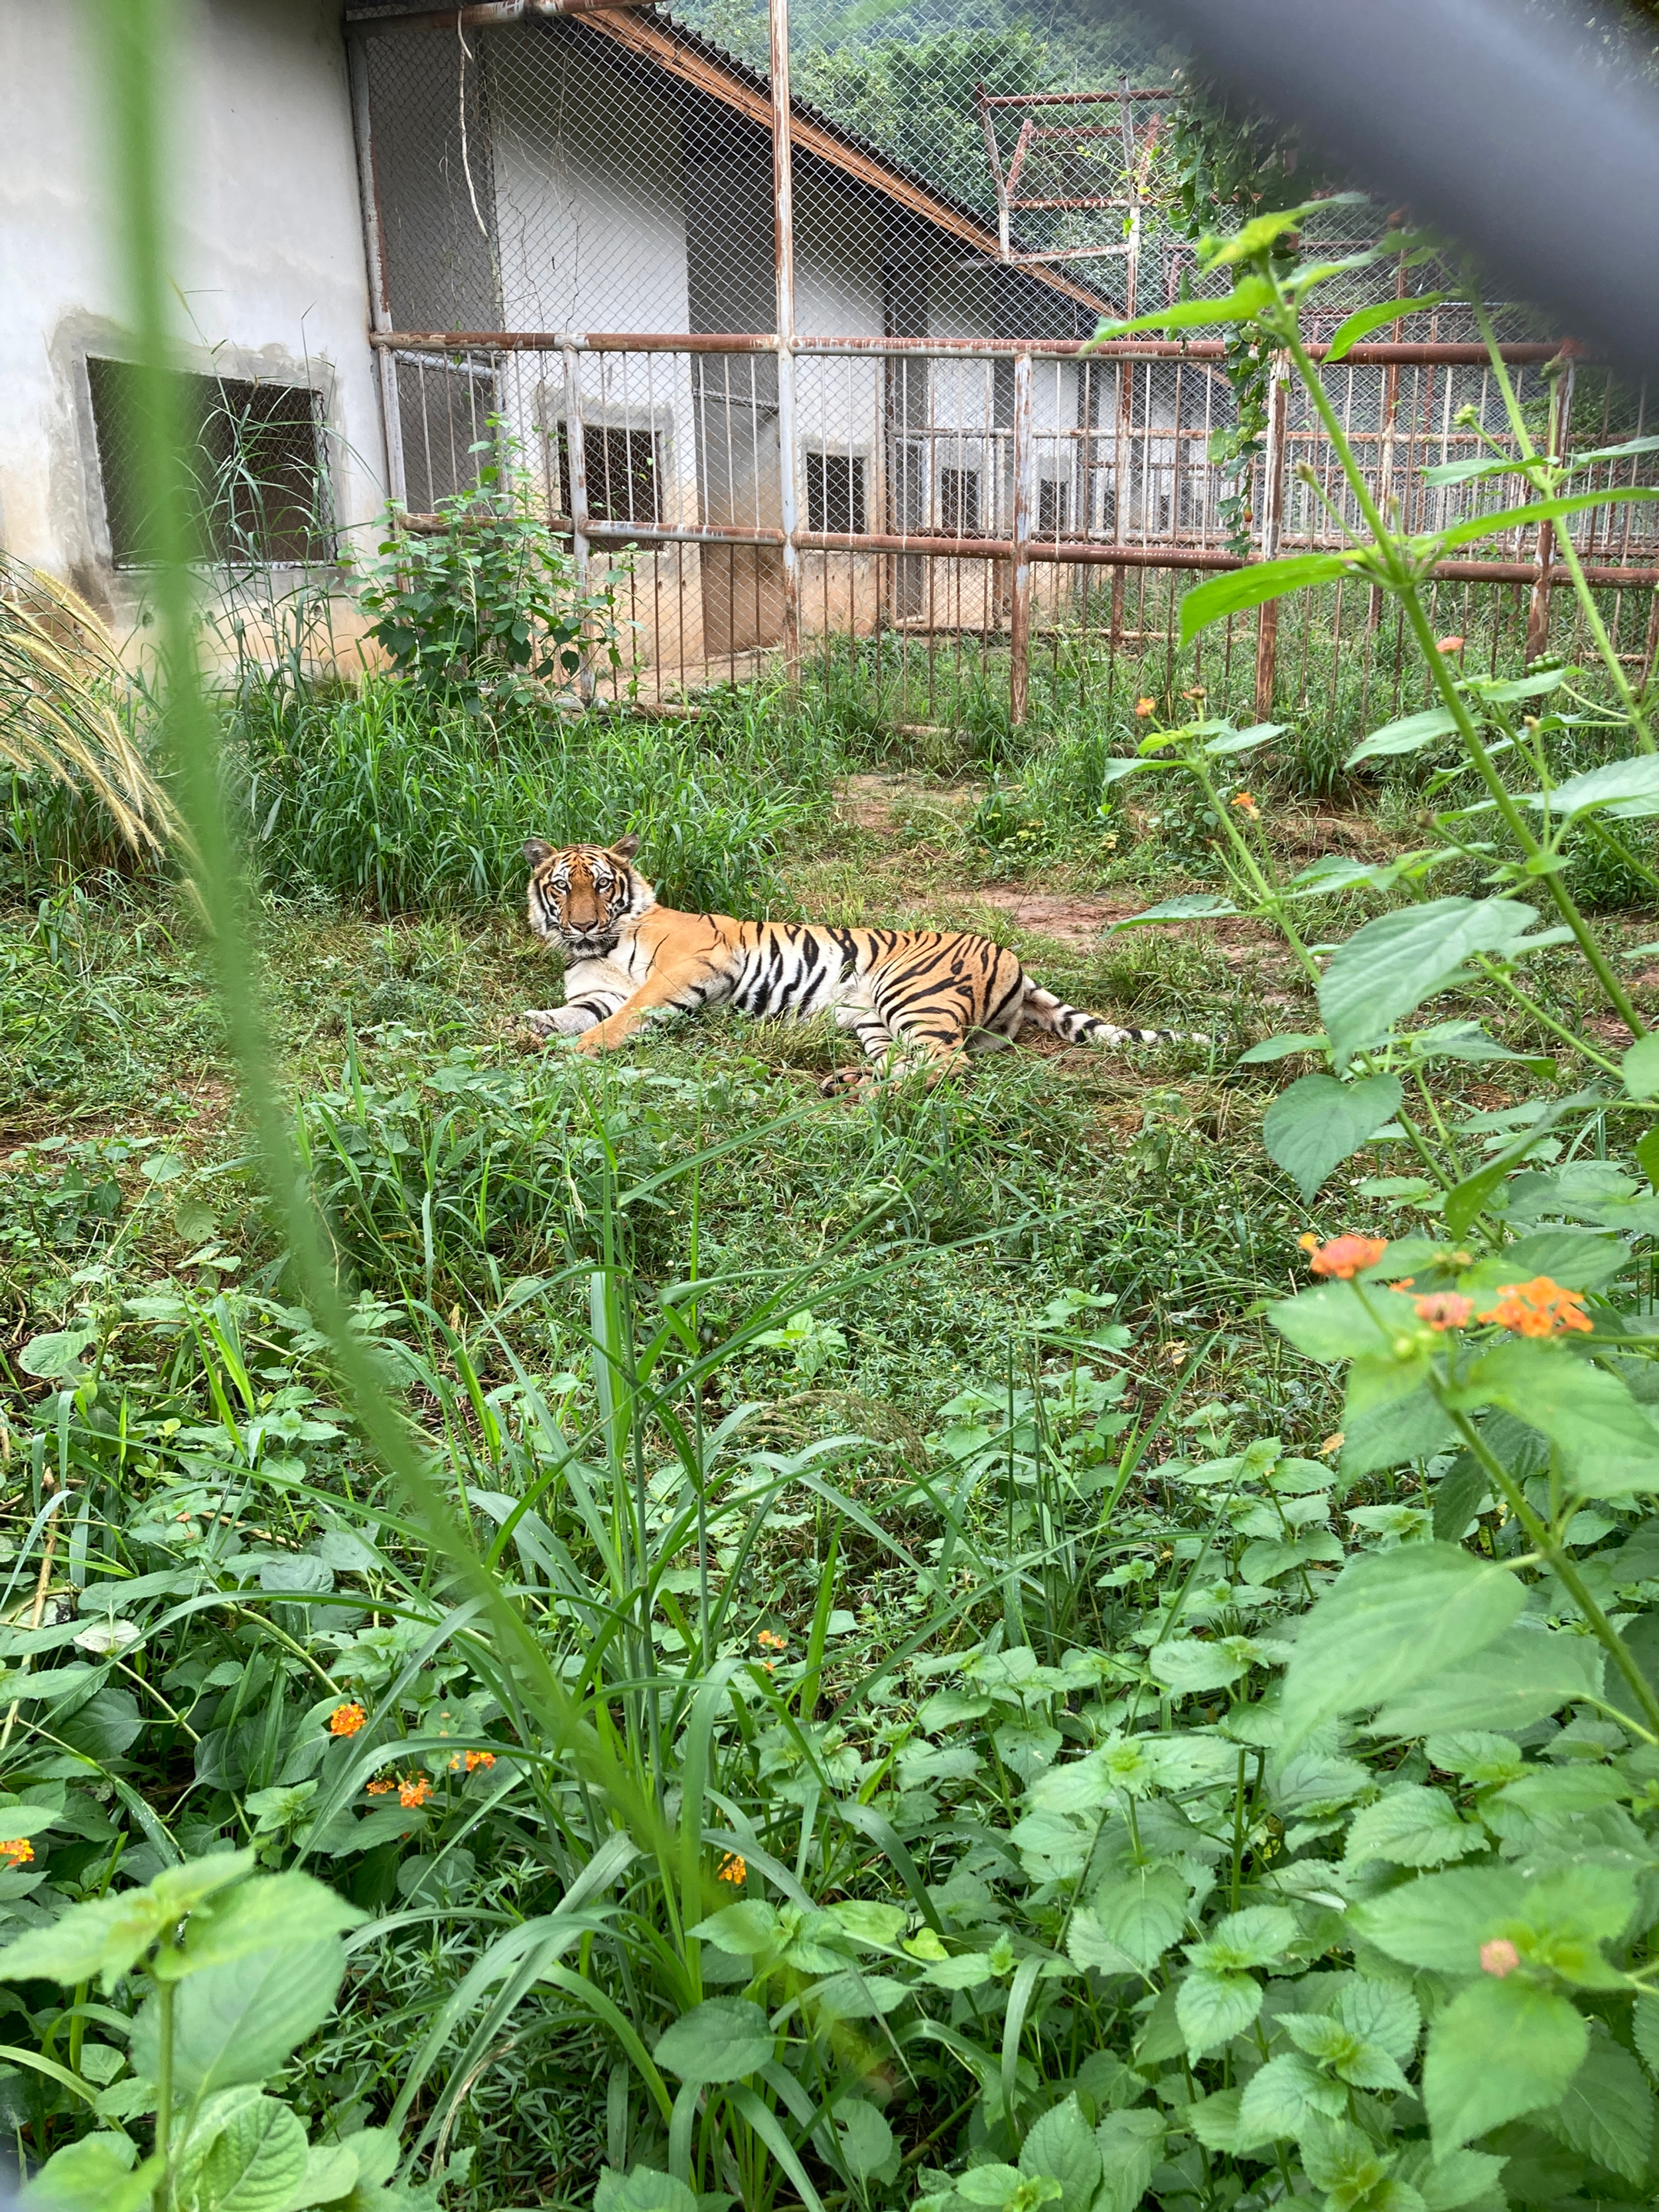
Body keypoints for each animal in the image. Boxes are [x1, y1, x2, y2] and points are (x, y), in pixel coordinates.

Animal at [519, 834, 1195, 1091]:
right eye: (562, 887)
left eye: (602, 885)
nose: (582, 922)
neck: (601, 946)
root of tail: (1016, 961)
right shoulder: (594, 990)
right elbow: (571, 1012)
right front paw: (527, 1030)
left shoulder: (689, 967)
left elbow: (630, 1014)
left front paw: (579, 1053)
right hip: (873, 1018)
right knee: (912, 1062)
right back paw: (845, 1084)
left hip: (913, 992)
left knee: (948, 1068)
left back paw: (861, 1097)